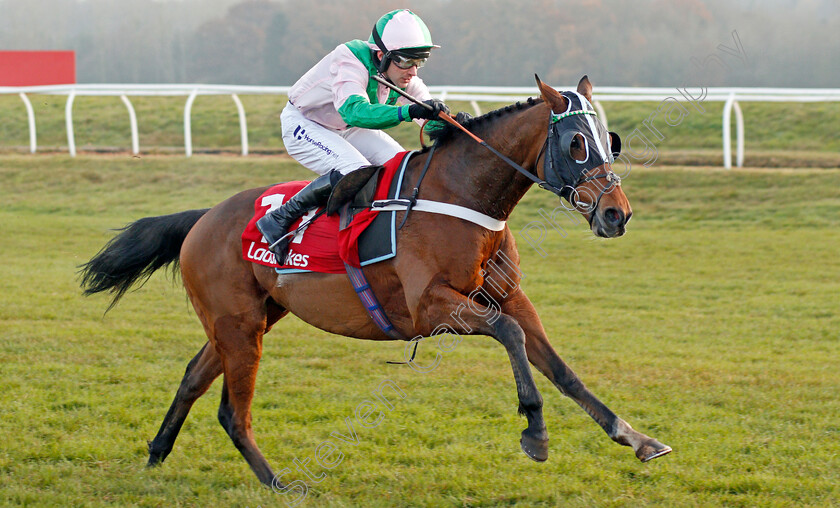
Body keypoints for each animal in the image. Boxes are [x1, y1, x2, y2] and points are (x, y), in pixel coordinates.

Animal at [79, 76, 668, 488]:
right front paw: (535, 433)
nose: (617, 214)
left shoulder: (509, 295)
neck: (463, 196)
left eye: (608, 139)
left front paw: (636, 437)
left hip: (251, 317)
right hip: (238, 325)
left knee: (192, 378)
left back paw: (157, 452)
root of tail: (204, 217)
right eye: (576, 144)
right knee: (231, 410)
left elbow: (560, 367)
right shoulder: (432, 309)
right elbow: (510, 334)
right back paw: (278, 482)